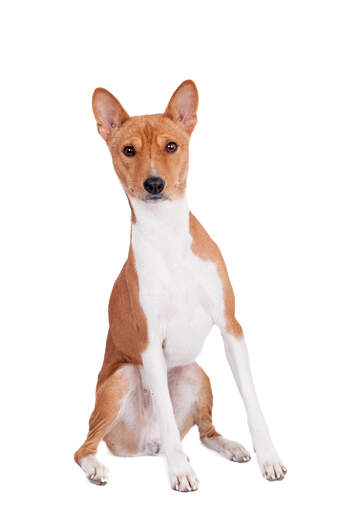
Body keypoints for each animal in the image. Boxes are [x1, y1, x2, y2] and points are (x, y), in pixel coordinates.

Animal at [73, 81, 284, 492]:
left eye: (171, 146)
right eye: (128, 150)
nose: (154, 183)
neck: (168, 235)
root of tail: (144, 445)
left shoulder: (230, 326)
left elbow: (252, 401)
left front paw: (269, 458)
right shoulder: (149, 342)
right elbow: (169, 420)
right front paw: (180, 472)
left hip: (195, 373)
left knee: (205, 431)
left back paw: (230, 446)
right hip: (122, 378)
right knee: (85, 446)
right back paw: (98, 467)